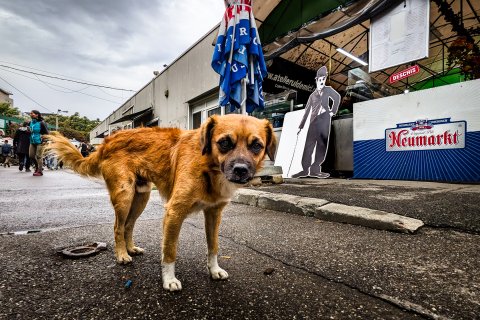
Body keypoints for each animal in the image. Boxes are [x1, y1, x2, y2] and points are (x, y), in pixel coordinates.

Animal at [46, 114, 278, 290]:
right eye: (224, 143)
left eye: (256, 146)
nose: (241, 170)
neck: (208, 166)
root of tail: (108, 141)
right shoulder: (174, 212)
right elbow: (169, 250)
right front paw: (169, 280)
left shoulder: (214, 212)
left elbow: (213, 246)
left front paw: (214, 270)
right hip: (124, 195)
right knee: (118, 227)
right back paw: (122, 255)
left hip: (141, 196)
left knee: (128, 225)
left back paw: (131, 249)